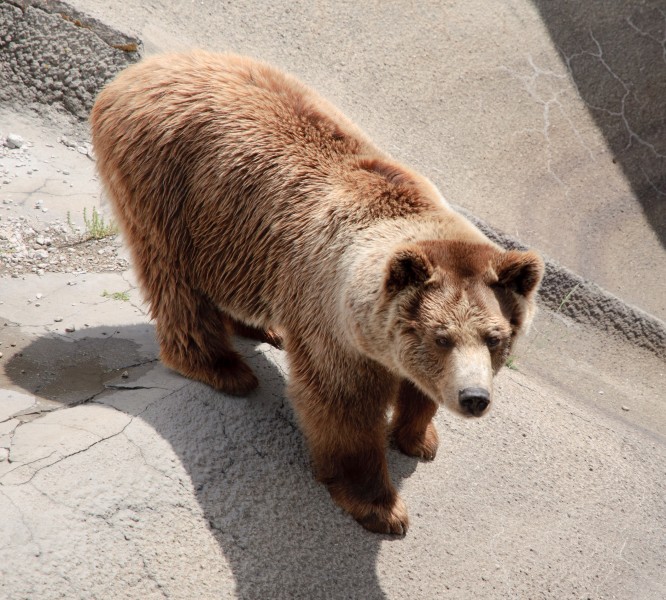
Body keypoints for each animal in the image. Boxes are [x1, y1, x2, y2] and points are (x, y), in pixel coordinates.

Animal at [90, 51, 544, 535]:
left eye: (496, 337)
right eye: (441, 336)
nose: (474, 398)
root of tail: (142, 67)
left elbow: (417, 390)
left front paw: (419, 438)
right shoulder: (333, 320)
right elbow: (342, 405)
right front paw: (381, 507)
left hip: (230, 234)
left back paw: (263, 328)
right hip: (170, 187)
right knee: (175, 279)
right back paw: (221, 367)